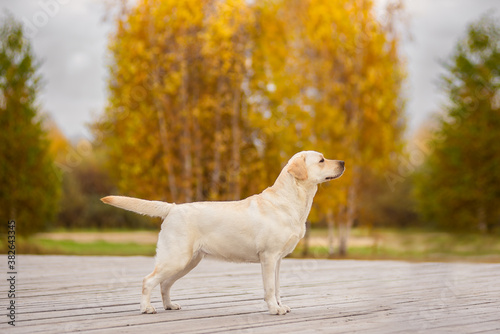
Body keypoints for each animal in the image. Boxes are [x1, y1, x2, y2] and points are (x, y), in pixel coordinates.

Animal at [101, 151, 344, 316]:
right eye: (321, 160)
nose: (343, 162)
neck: (290, 199)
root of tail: (172, 208)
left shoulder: (278, 260)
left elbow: (277, 288)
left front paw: (280, 305)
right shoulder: (268, 257)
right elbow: (269, 288)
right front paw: (274, 309)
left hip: (189, 261)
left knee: (164, 284)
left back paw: (169, 305)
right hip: (176, 258)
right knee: (148, 280)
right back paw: (147, 308)